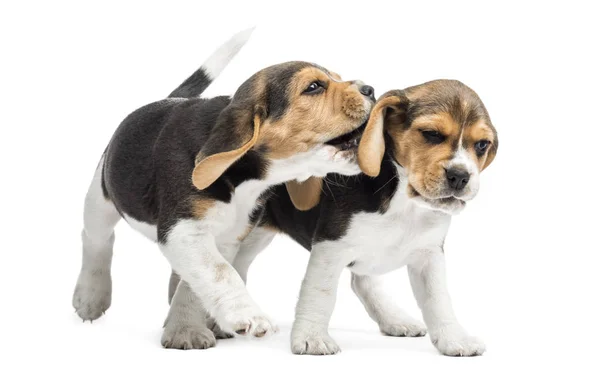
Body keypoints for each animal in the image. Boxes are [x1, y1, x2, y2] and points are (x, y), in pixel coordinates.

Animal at [72, 29, 376, 350]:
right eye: (314, 87)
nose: (370, 89)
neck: (245, 178)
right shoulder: (184, 229)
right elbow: (220, 273)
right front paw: (248, 317)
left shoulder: (226, 238)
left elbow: (196, 284)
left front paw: (186, 328)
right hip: (100, 198)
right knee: (96, 240)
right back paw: (90, 297)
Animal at [224, 81, 496, 356]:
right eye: (431, 133)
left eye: (482, 145)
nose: (460, 176)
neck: (404, 201)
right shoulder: (330, 246)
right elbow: (320, 293)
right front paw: (312, 337)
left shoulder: (429, 253)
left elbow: (438, 298)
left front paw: (454, 338)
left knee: (362, 281)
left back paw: (393, 319)